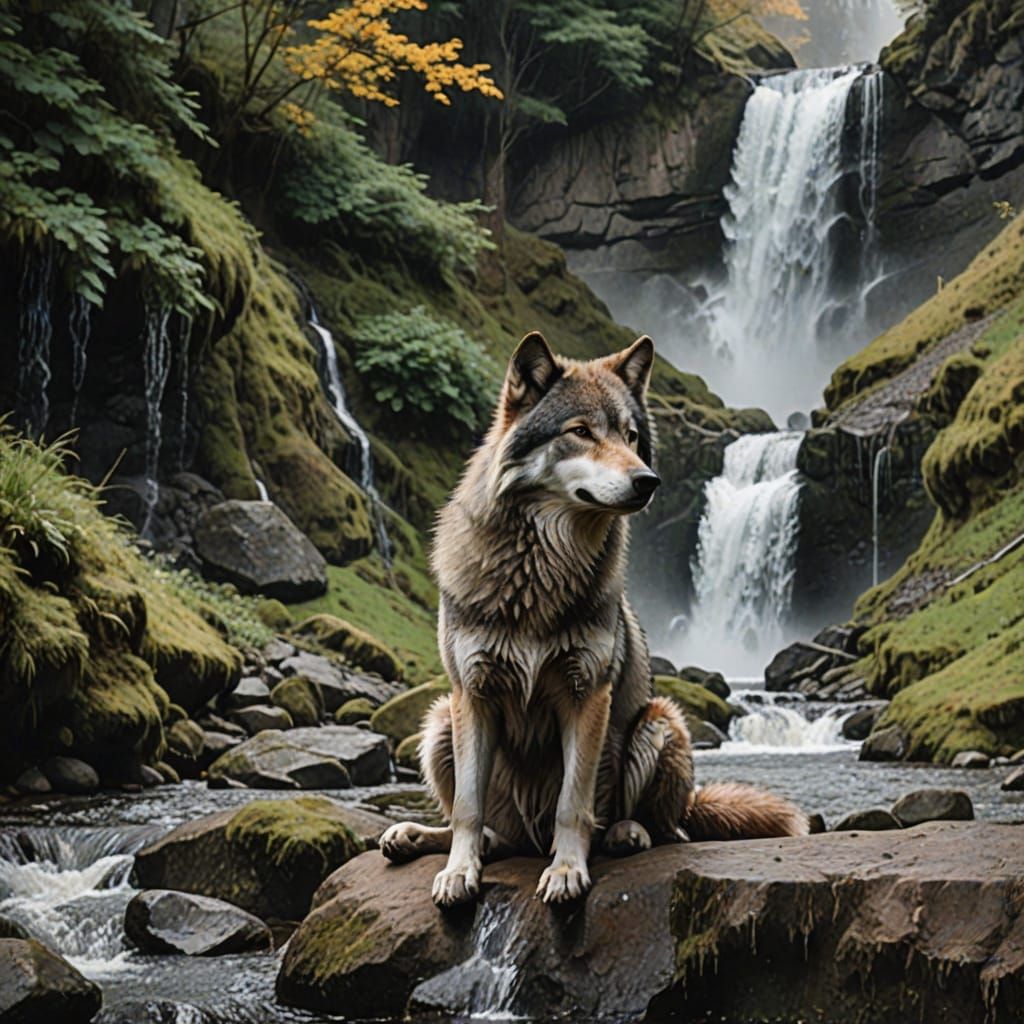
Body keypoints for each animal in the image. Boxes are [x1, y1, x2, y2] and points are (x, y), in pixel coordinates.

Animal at [380, 333, 808, 907]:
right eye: (580, 432)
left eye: (631, 436)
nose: (648, 481)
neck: (539, 568)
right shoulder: (473, 692)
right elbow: (468, 809)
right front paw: (458, 872)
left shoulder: (586, 694)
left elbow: (572, 803)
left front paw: (565, 871)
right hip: (440, 721)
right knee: (484, 828)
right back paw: (415, 836)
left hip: (659, 723)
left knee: (667, 829)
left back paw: (629, 833)